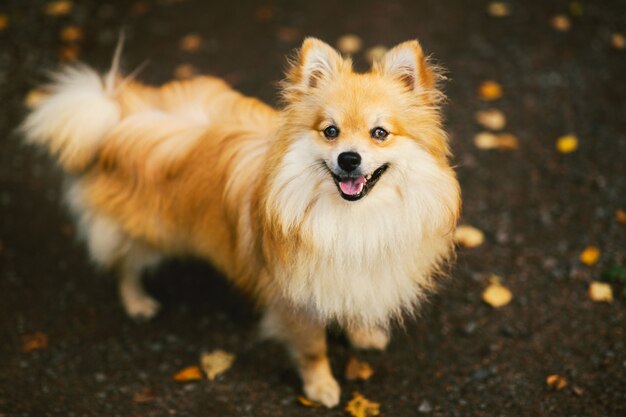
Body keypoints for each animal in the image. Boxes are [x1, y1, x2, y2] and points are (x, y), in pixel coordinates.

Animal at [20, 37, 458, 404]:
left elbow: (355, 305)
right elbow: (313, 349)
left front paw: (363, 334)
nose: (349, 158)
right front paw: (321, 388)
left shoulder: (355, 275)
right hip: (147, 233)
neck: (354, 217)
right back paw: (138, 302)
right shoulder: (294, 298)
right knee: (124, 263)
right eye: (330, 132)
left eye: (379, 133)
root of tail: (117, 116)